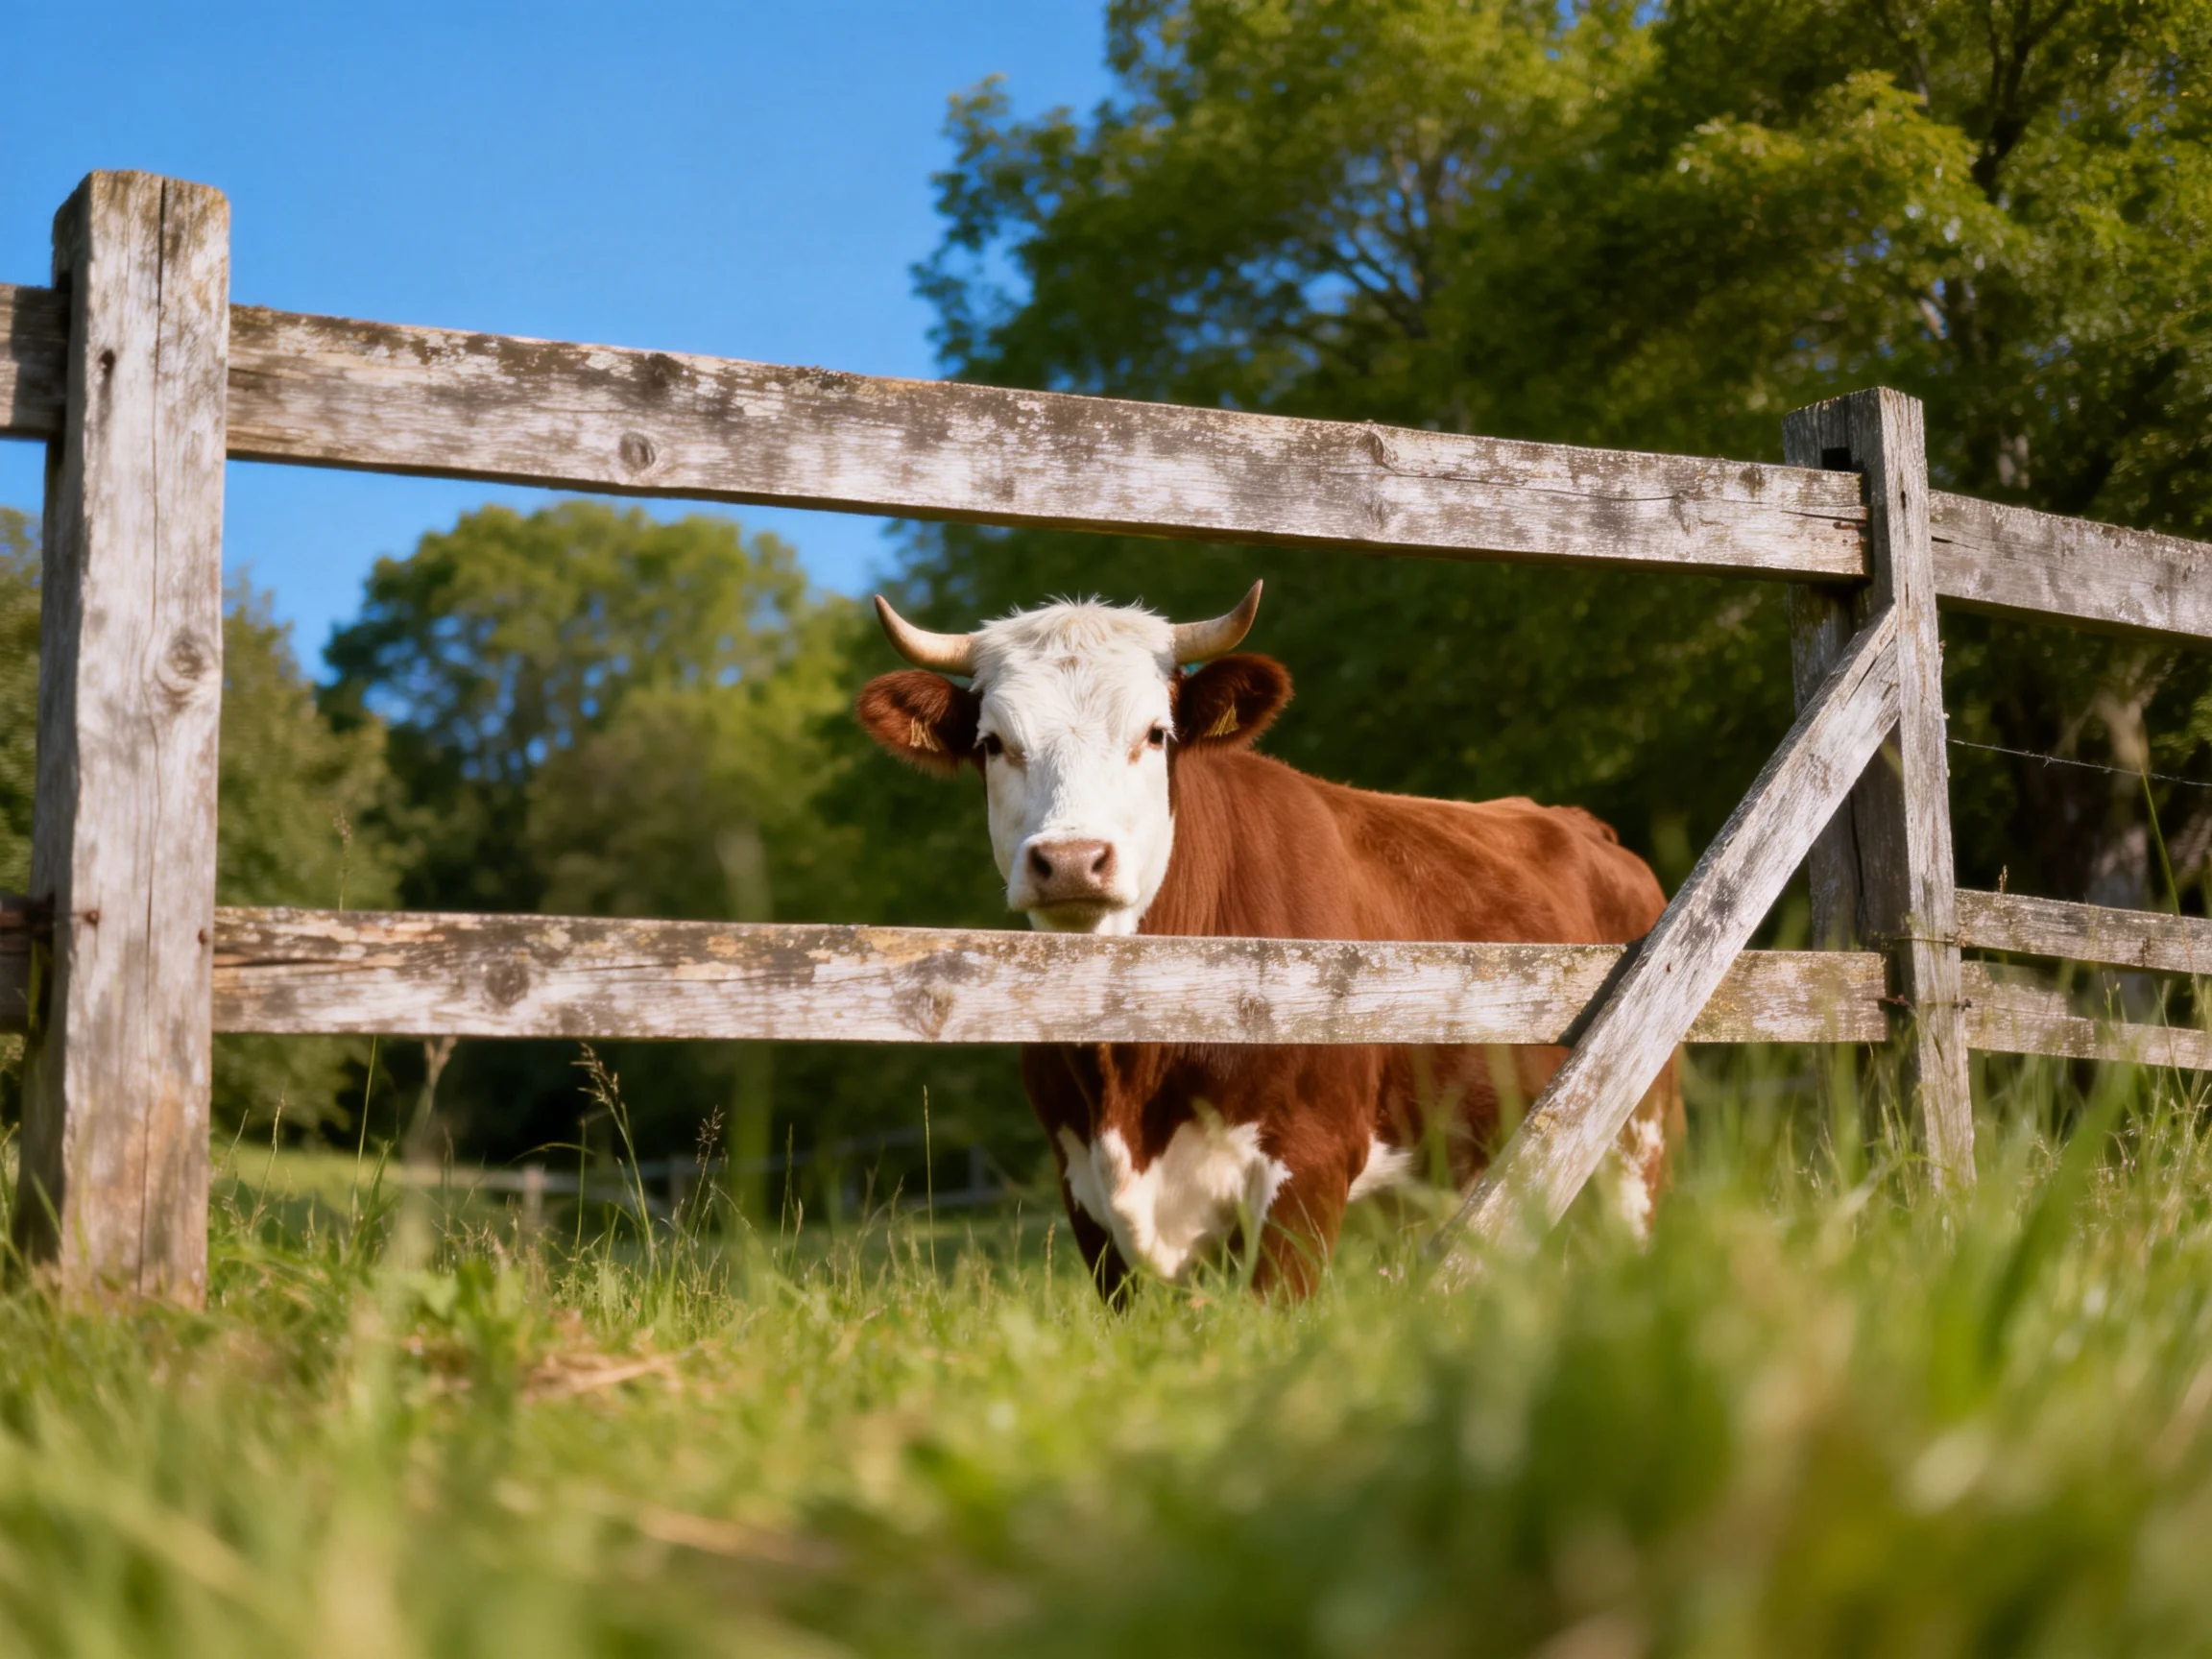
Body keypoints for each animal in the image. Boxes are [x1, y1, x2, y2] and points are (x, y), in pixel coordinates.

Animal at [855, 583, 1679, 1299]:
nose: (1072, 860)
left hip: (1634, 1143)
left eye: (1156, 734)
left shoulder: (1306, 1165)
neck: (1129, 1065)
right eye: (995, 744)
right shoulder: (1086, 1189)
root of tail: (1581, 824)